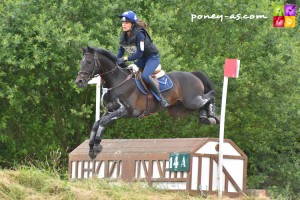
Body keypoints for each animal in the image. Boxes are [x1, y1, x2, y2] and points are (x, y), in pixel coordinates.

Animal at [76, 45, 219, 159]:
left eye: (89, 62)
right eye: (81, 62)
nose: (79, 81)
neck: (117, 81)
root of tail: (193, 74)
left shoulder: (126, 111)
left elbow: (103, 122)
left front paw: (96, 146)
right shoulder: (111, 110)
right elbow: (97, 123)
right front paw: (92, 148)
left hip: (192, 101)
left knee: (211, 95)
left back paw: (212, 116)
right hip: (180, 109)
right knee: (203, 103)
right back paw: (205, 118)